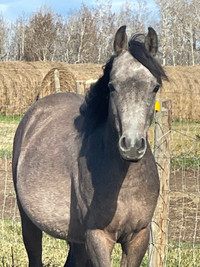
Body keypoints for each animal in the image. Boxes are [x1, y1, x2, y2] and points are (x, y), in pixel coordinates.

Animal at [12, 25, 168, 267]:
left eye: (155, 87)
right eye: (112, 86)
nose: (132, 146)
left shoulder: (138, 238)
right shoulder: (98, 237)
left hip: (76, 238)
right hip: (29, 220)